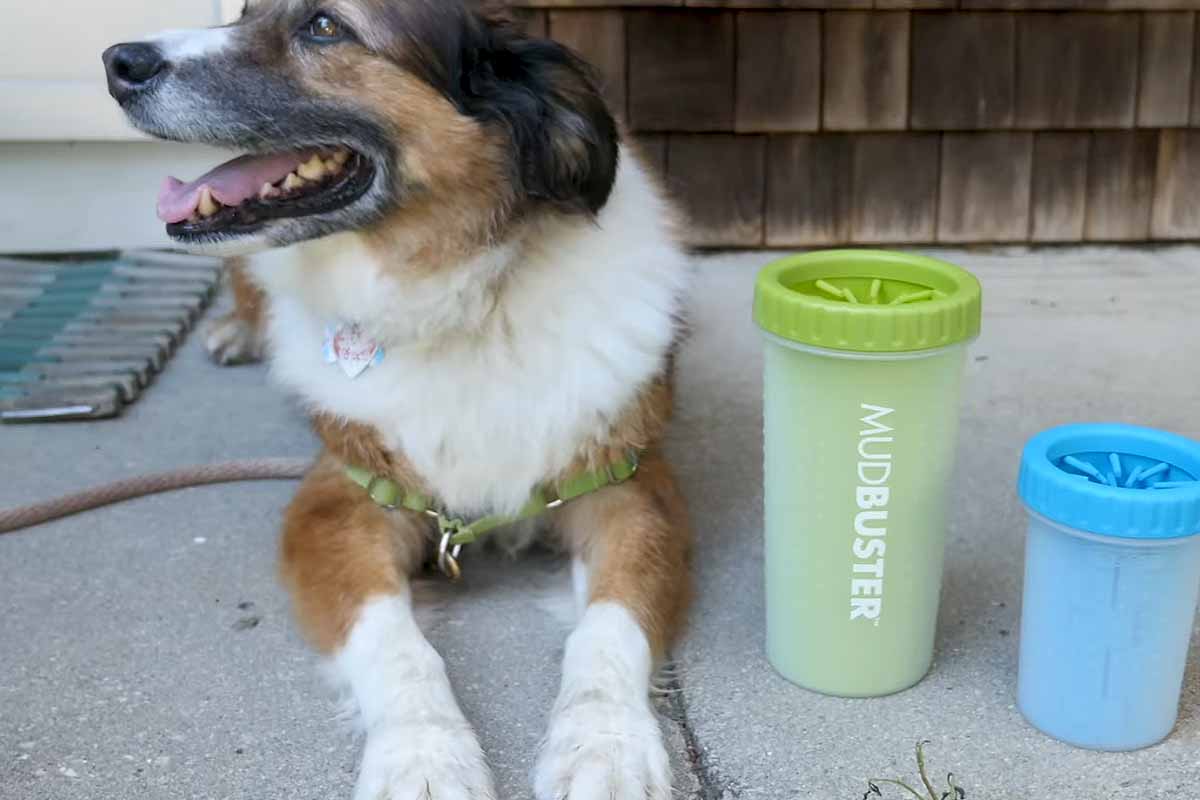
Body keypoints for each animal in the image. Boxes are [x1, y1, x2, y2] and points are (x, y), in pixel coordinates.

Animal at [103, 3, 696, 796]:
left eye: (325, 26)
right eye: (245, 13)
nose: (117, 62)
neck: (464, 300)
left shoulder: (632, 488)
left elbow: (610, 626)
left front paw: (606, 746)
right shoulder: (338, 498)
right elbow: (395, 642)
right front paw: (424, 756)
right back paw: (236, 331)